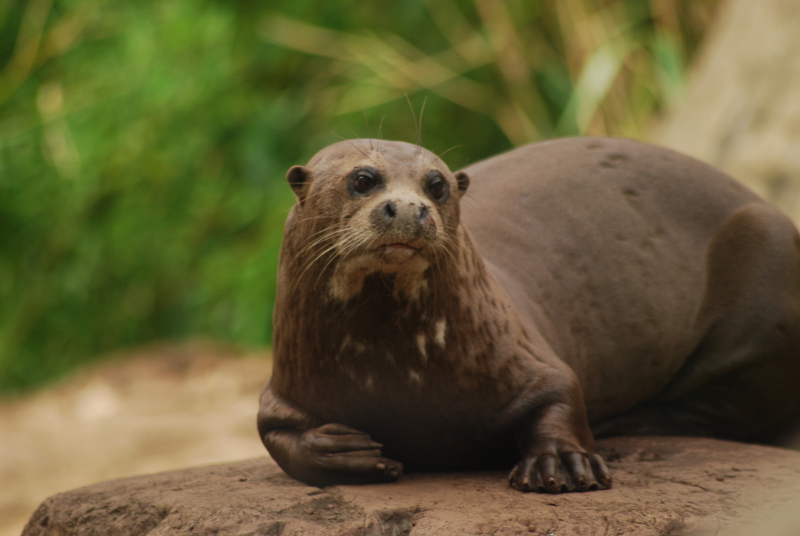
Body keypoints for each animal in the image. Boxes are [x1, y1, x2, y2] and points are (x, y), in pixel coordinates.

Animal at [258, 137, 800, 493]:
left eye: (437, 186)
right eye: (363, 180)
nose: (410, 208)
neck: (393, 375)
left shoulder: (526, 355)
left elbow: (562, 390)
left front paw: (563, 463)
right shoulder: (285, 386)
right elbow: (275, 435)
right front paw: (346, 451)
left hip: (768, 270)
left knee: (728, 405)